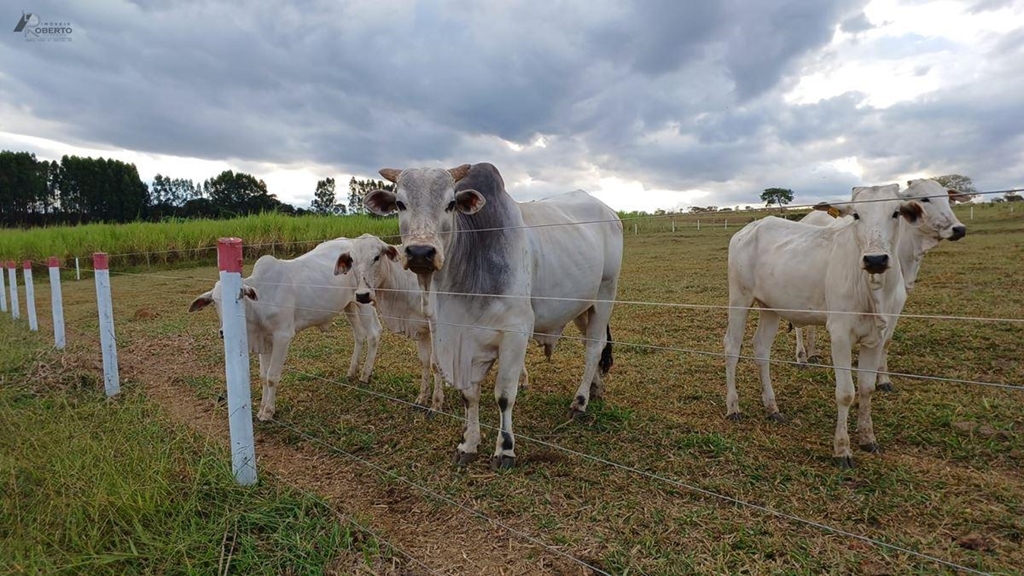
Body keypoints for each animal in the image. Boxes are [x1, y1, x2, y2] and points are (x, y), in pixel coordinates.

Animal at [188, 235, 380, 420]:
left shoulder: (283, 336)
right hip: (349, 305)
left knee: (373, 334)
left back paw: (365, 374)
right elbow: (263, 376)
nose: (223, 332)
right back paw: (352, 372)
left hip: (363, 300)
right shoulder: (265, 341)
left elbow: (272, 377)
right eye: (214, 301)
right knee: (359, 335)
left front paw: (268, 412)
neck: (261, 300)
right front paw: (262, 409)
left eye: (240, 296)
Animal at [331, 233, 444, 412]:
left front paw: (436, 404)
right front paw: (422, 398)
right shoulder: (421, 329)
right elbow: (425, 361)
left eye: (377, 257)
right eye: (352, 260)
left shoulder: (436, 327)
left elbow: (435, 363)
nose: (362, 295)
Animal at [368, 159, 622, 467]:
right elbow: (469, 395)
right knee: (591, 346)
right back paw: (595, 388)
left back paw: (580, 401)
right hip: (582, 306)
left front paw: (505, 449)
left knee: (594, 347)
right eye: (400, 204)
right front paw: (468, 444)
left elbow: (504, 395)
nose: (420, 252)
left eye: (451, 204)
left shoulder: (515, 334)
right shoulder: (458, 338)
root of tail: (610, 212)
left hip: (605, 295)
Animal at [724, 183, 925, 467]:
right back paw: (733, 407)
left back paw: (772, 408)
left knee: (761, 349)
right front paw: (842, 450)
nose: (875, 259)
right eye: (856, 215)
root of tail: (750, 228)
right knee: (732, 347)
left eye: (896, 213)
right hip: (739, 298)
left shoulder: (876, 337)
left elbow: (866, 388)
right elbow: (846, 392)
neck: (872, 290)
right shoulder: (839, 335)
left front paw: (868, 438)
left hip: (770, 307)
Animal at [790, 176, 966, 389]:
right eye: (924, 199)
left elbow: (886, 341)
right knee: (799, 324)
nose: (959, 229)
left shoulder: (897, 303)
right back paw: (801, 357)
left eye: (948, 199)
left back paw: (813, 353)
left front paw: (883, 379)